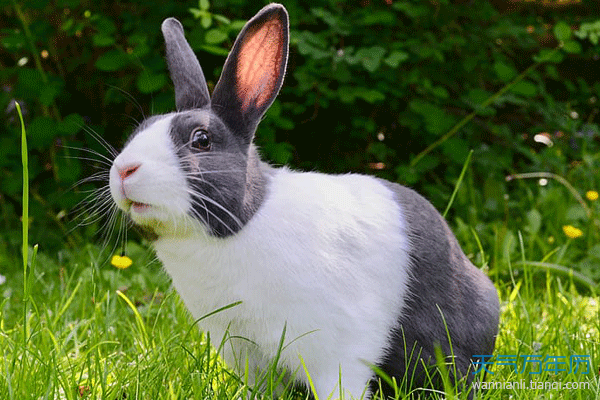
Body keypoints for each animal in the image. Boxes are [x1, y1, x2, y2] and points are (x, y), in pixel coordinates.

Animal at [106, 3, 496, 400]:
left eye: (201, 140)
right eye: (141, 129)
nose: (123, 170)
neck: (241, 224)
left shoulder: (336, 350)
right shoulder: (249, 354)